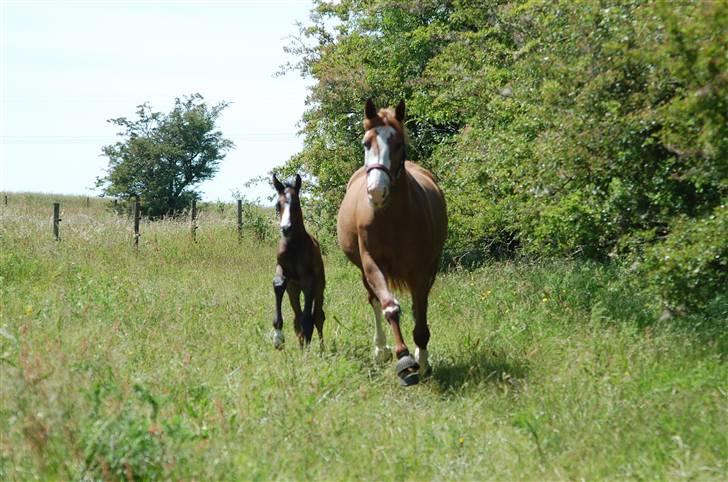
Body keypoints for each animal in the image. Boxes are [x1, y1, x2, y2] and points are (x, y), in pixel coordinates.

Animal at [272, 175, 326, 348]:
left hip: (319, 286)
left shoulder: (308, 280)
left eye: (296, 203)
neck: (293, 246)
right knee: (297, 319)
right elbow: (278, 283)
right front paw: (278, 336)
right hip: (293, 290)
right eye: (278, 204)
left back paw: (321, 349)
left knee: (318, 317)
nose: (285, 228)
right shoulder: (283, 270)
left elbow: (308, 320)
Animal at [336, 100, 446, 386]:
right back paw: (380, 350)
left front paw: (423, 361)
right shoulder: (372, 265)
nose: (376, 191)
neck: (393, 217)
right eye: (366, 143)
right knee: (374, 300)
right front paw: (403, 359)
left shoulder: (422, 271)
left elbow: (420, 318)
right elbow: (389, 308)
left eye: (397, 144)